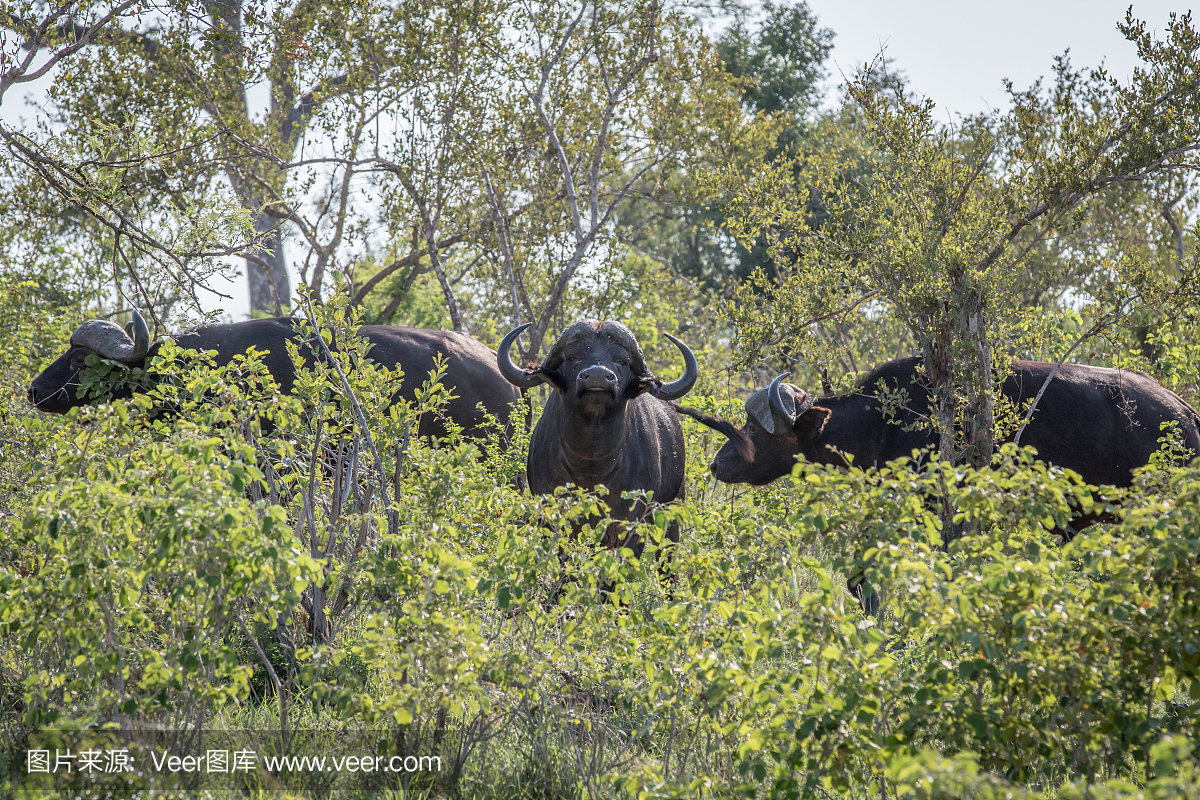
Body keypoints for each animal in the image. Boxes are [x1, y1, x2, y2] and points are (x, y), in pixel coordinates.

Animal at [496, 321, 700, 554]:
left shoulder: (631, 525)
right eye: (572, 357)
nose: (597, 377)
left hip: (673, 507)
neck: (591, 463)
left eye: (622, 361)